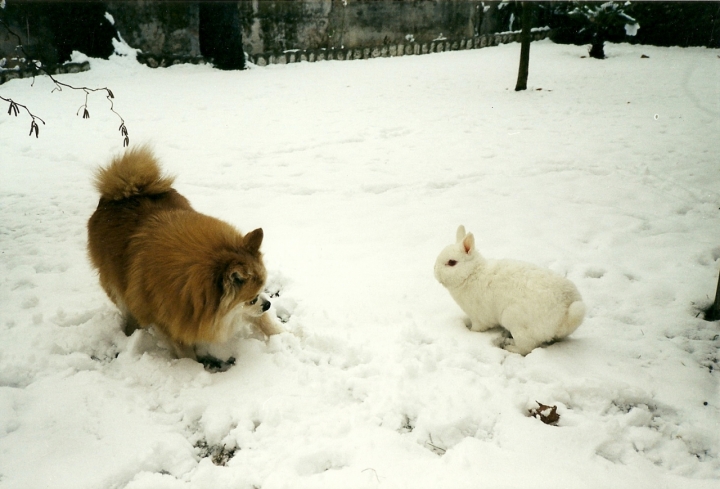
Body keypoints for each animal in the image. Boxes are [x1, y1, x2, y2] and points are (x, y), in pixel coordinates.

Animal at [87, 146, 282, 358]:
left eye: (263, 289)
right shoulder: (170, 322)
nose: (268, 304)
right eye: (251, 299)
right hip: (115, 285)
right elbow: (186, 353)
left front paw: (282, 336)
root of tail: (123, 194)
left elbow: (265, 322)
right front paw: (191, 365)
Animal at [434, 225, 584, 354]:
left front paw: (470, 332)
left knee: (526, 348)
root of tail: (565, 314)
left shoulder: (478, 318)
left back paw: (510, 347)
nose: (435, 273)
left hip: (513, 320)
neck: (472, 273)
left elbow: (477, 328)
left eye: (452, 262)